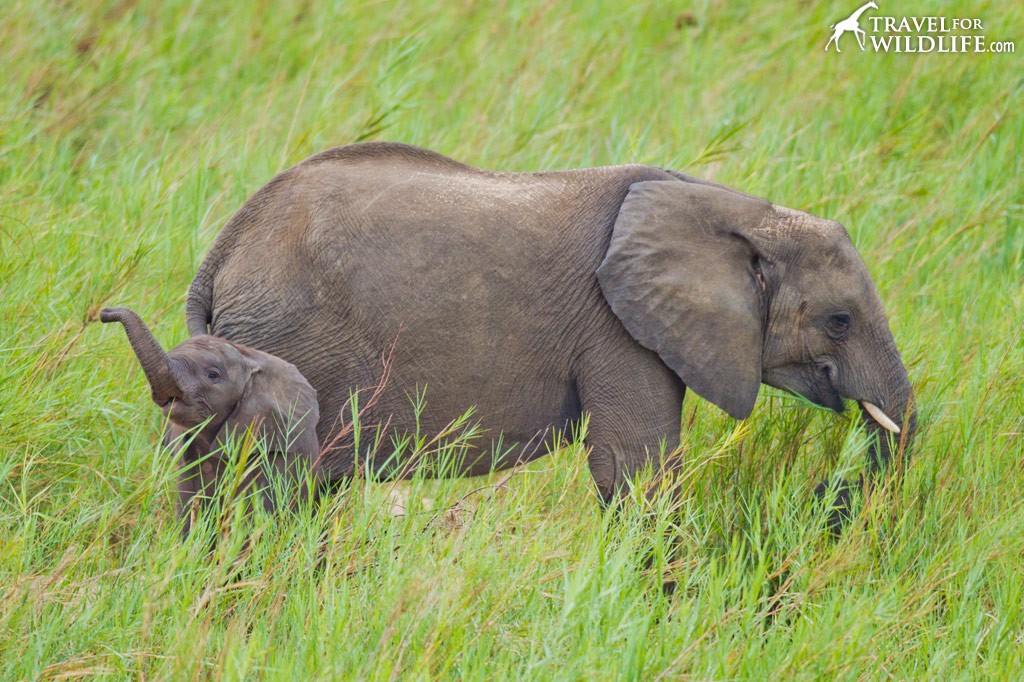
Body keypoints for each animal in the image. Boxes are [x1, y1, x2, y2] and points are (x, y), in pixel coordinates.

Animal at [188, 140, 917, 501]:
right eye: (840, 319)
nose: (822, 492)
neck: (742, 211)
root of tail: (222, 251)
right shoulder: (616, 328)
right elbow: (636, 468)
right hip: (287, 342)